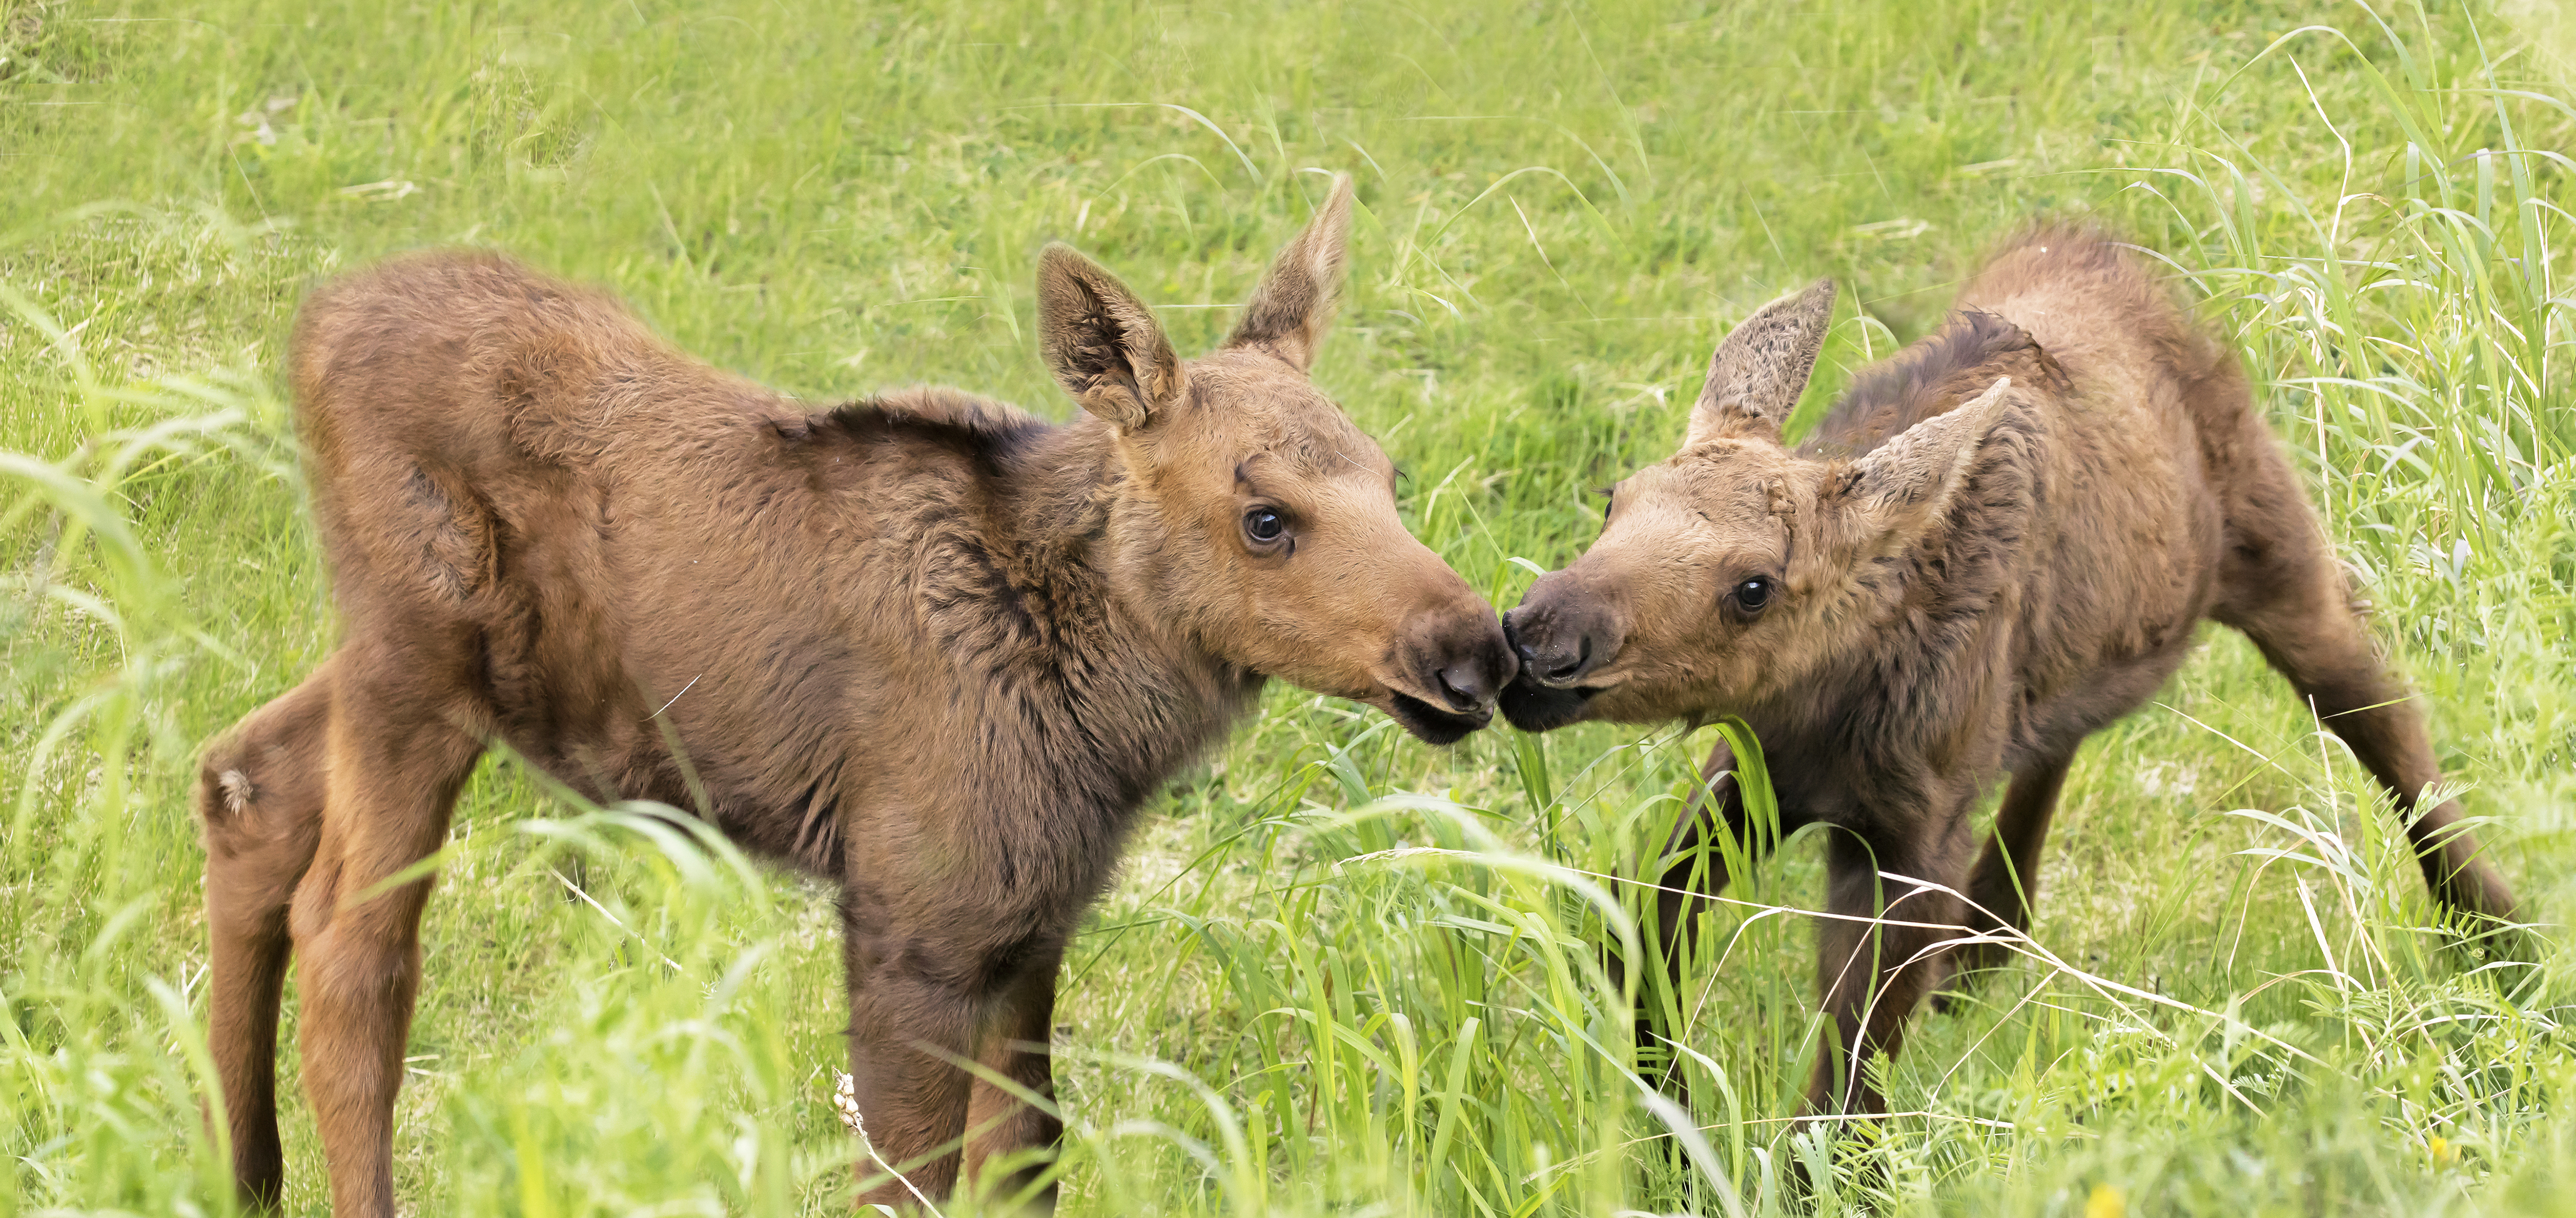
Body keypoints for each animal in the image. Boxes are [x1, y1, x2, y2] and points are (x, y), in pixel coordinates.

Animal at [206, 175, 1525, 1210]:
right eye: (1266, 517)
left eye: (1390, 476)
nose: (1475, 650)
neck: (1107, 722)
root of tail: (310, 326)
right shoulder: (910, 925)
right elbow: (908, 1180)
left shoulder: (1029, 927)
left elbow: (1030, 1156)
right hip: (413, 663)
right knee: (352, 939)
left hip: (422, 675)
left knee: (245, 777)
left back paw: (247, 1178)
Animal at [1504, 222, 2524, 1118]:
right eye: (1615, 497)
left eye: (1753, 588)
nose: (1540, 639)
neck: (1834, 698)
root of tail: (2111, 251)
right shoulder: (1759, 768)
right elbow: (1640, 925)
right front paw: (1663, 1125)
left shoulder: (1908, 833)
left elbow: (1850, 1072)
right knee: (2061, 734)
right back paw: (1988, 942)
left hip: (2281, 562)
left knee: (2383, 714)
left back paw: (2502, 939)